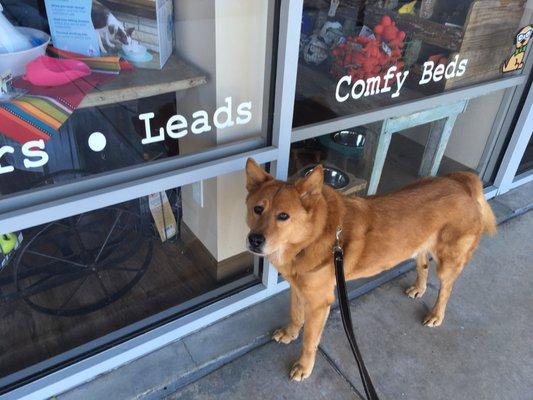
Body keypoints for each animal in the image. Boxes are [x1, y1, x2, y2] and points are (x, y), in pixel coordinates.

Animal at [244, 157, 494, 382]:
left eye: (283, 216)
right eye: (257, 209)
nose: (254, 240)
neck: (311, 238)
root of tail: (461, 183)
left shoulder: (318, 303)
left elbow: (309, 341)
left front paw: (304, 366)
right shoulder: (298, 288)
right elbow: (295, 314)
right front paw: (290, 332)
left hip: (447, 263)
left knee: (446, 288)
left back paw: (436, 314)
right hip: (418, 246)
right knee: (423, 265)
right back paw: (419, 288)